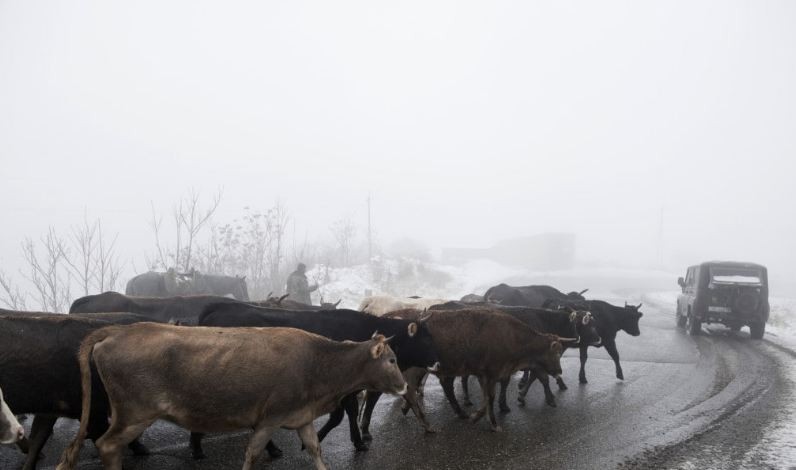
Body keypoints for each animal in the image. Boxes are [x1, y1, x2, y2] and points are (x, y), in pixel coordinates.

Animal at [57, 324, 404, 470]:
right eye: (391, 360)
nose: (402, 386)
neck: (319, 366)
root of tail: (118, 330)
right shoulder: (270, 417)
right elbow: (252, 454)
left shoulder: (301, 416)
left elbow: (316, 451)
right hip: (134, 412)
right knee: (107, 444)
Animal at [195, 302, 438, 458]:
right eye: (426, 340)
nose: (438, 363)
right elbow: (340, 415)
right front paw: (321, 440)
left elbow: (347, 412)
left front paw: (357, 441)